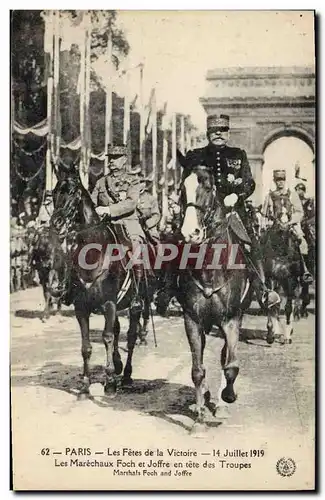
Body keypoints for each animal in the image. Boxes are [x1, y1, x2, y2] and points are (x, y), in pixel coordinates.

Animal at [50, 165, 155, 398]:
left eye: (72, 192)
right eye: (53, 192)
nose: (56, 223)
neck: (93, 253)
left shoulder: (109, 304)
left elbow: (106, 337)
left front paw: (109, 383)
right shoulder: (81, 307)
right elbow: (86, 346)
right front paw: (84, 385)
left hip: (135, 303)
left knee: (130, 336)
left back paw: (126, 375)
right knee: (117, 331)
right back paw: (117, 365)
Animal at [177, 166, 278, 432]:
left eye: (209, 187)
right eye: (181, 188)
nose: (190, 233)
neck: (210, 265)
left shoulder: (231, 319)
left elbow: (231, 365)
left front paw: (228, 396)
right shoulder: (192, 320)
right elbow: (197, 370)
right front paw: (200, 417)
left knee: (226, 356)